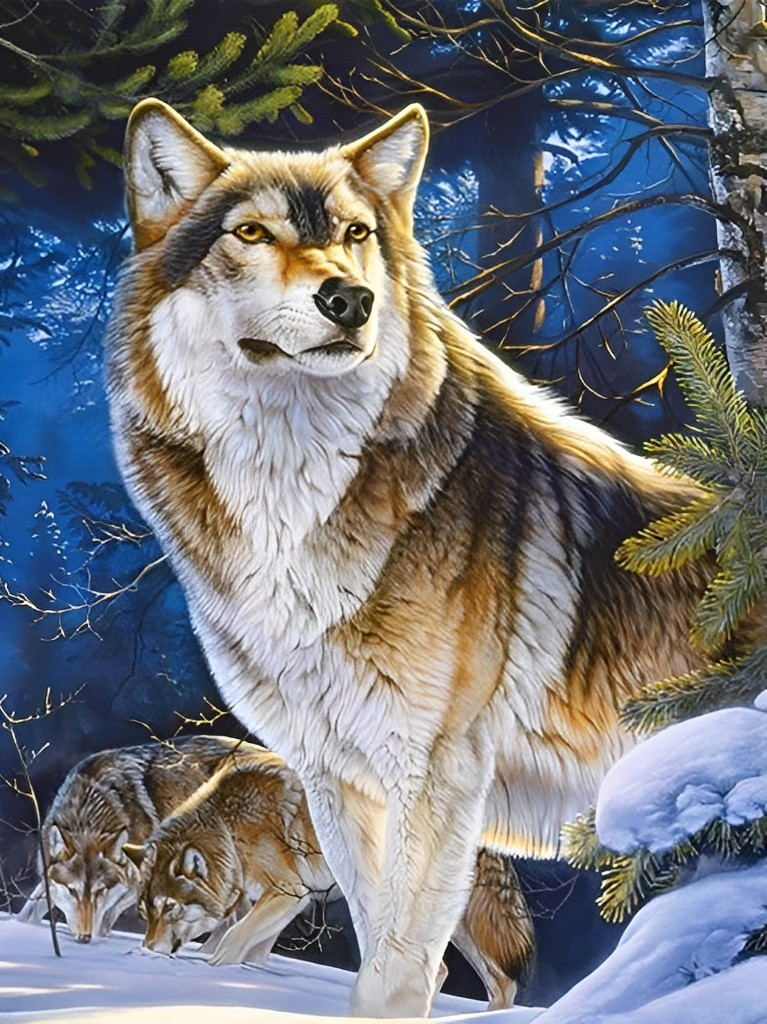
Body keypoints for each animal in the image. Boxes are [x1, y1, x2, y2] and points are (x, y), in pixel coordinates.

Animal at [19, 735, 249, 942]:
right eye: (72, 891)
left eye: (100, 891)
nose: (84, 938)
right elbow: (29, 911)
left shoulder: (136, 883)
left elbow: (105, 917)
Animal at [127, 748, 533, 1010]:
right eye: (146, 912)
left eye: (170, 908)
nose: (148, 950)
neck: (230, 828)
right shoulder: (281, 903)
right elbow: (245, 948)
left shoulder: (287, 893)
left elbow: (230, 941)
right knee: (494, 981)